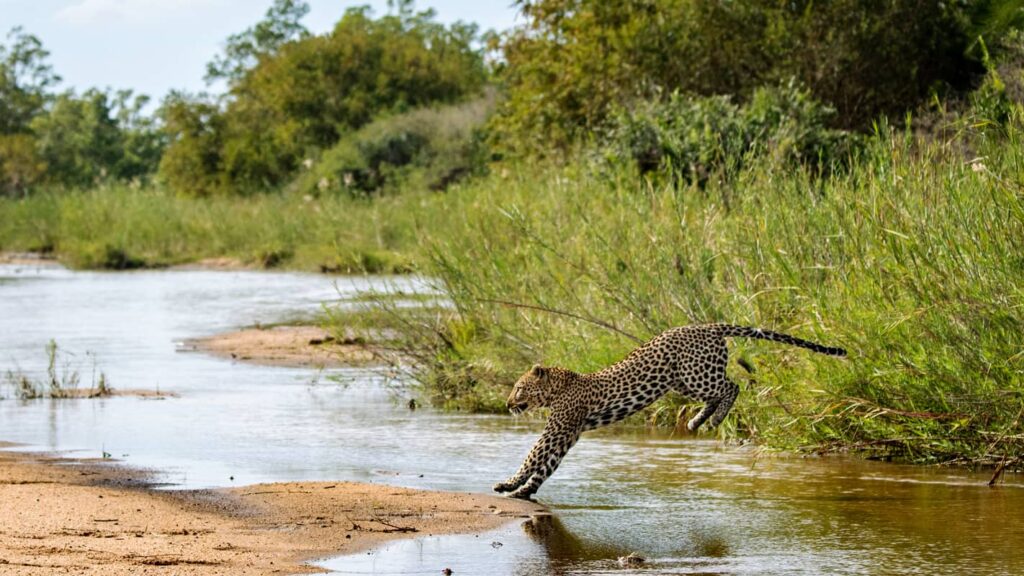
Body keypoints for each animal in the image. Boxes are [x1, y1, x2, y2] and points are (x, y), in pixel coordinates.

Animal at [493, 323, 846, 500]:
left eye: (519, 388)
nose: (508, 404)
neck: (558, 389)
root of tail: (708, 325)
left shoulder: (559, 429)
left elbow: (533, 457)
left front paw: (508, 484)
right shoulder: (567, 433)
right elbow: (546, 466)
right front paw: (523, 491)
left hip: (696, 375)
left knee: (732, 387)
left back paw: (713, 420)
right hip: (682, 382)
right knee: (720, 392)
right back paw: (697, 421)